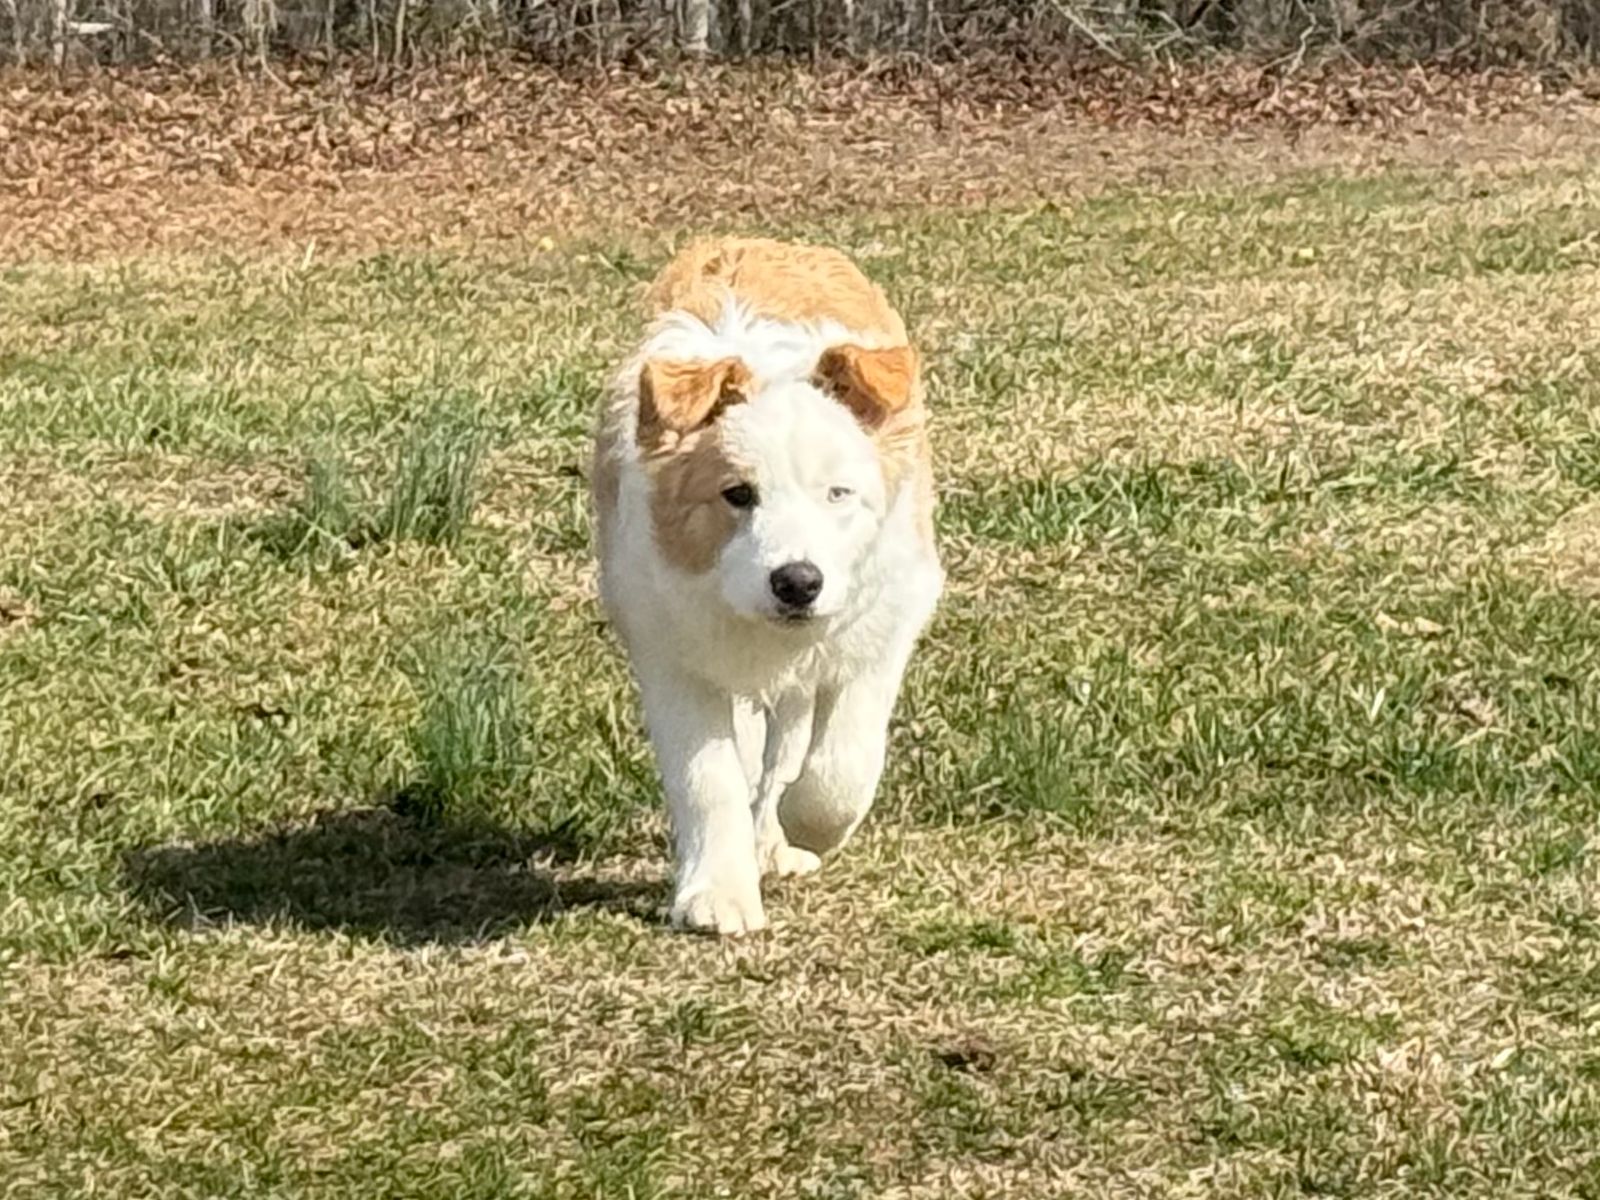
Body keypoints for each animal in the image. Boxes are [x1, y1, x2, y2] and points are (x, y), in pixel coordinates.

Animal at [590, 237, 943, 934]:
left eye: (838, 493)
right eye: (737, 494)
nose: (797, 583)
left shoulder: (885, 619)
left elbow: (838, 768)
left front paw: (799, 833)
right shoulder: (669, 645)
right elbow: (709, 776)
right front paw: (718, 893)